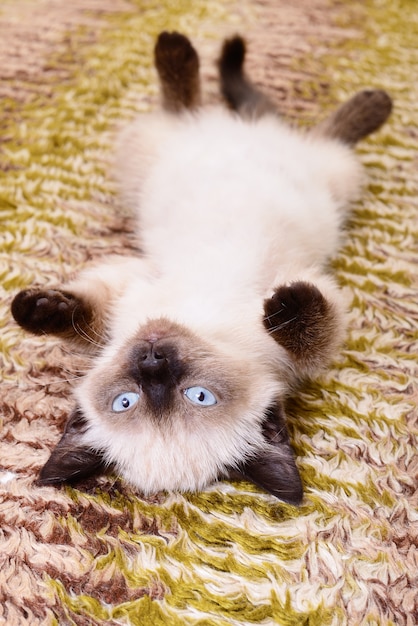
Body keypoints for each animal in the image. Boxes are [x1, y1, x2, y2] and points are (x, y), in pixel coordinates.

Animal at [10, 31, 392, 504]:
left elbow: (310, 330)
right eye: (126, 401)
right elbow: (82, 315)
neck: (202, 324)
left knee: (290, 124)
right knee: (197, 106)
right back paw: (182, 48)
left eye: (199, 396)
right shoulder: (130, 294)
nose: (152, 358)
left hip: (328, 176)